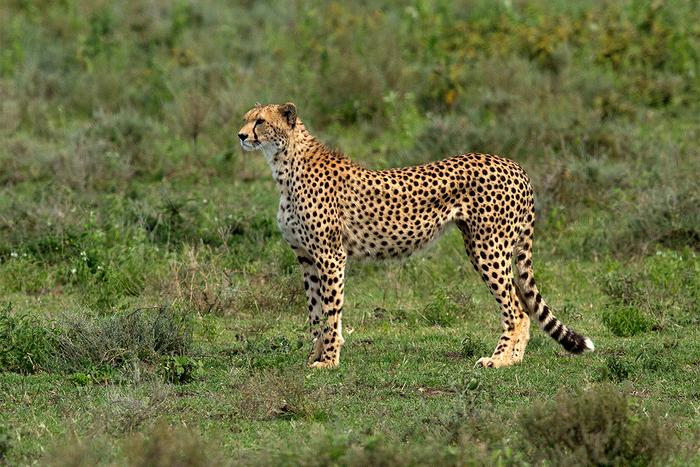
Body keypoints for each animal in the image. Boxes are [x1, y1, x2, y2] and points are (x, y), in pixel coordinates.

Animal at [237, 102, 594, 369]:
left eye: (260, 121)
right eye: (245, 119)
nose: (240, 135)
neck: (285, 163)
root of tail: (513, 164)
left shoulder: (330, 255)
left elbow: (330, 311)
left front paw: (329, 361)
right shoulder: (306, 258)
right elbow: (314, 312)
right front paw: (314, 356)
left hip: (488, 248)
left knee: (517, 311)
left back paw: (499, 360)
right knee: (522, 305)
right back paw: (514, 360)